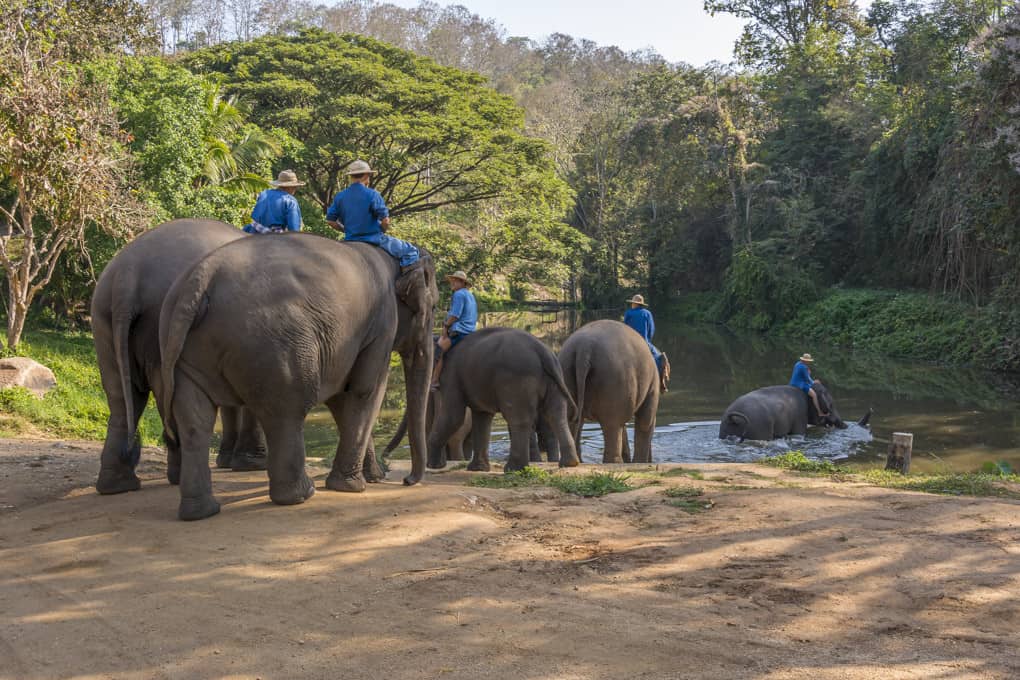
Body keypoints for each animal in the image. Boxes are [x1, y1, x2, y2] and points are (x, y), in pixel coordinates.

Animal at [90, 219, 267, 495]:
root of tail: (128, 274)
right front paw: (250, 465)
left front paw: (230, 462)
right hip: (160, 322)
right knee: (164, 393)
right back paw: (175, 476)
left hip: (103, 319)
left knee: (121, 397)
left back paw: (117, 485)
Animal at [157, 234, 436, 521]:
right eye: (434, 307)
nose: (406, 480)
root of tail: (202, 277)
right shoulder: (381, 326)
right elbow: (365, 390)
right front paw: (353, 486)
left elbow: (341, 398)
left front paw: (371, 477)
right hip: (273, 346)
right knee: (286, 411)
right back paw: (302, 494)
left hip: (180, 346)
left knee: (195, 421)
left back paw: (200, 512)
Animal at [424, 328, 583, 473]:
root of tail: (543, 352)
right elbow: (482, 417)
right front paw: (478, 469)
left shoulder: (450, 376)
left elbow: (454, 416)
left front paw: (433, 466)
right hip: (553, 381)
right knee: (556, 415)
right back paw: (569, 463)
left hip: (516, 381)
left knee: (518, 419)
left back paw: (513, 469)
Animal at [558, 320, 660, 462]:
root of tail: (584, 348)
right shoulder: (653, 385)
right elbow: (646, 421)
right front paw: (640, 463)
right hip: (614, 380)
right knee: (613, 425)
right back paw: (616, 462)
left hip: (567, 371)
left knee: (571, 419)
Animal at [718, 383, 869, 442]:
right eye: (831, 405)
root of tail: (733, 417)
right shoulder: (800, 415)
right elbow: (799, 433)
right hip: (759, 427)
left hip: (725, 428)